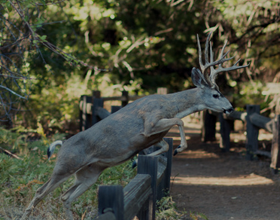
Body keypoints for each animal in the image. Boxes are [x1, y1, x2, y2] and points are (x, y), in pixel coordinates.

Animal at [21, 31, 249, 219]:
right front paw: (179, 148)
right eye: (216, 94)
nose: (230, 108)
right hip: (65, 165)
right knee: (40, 192)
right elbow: (180, 120)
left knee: (65, 197)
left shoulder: (154, 137)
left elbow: (163, 146)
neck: (171, 105)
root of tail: (63, 144)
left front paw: (138, 160)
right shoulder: (150, 123)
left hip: (89, 174)